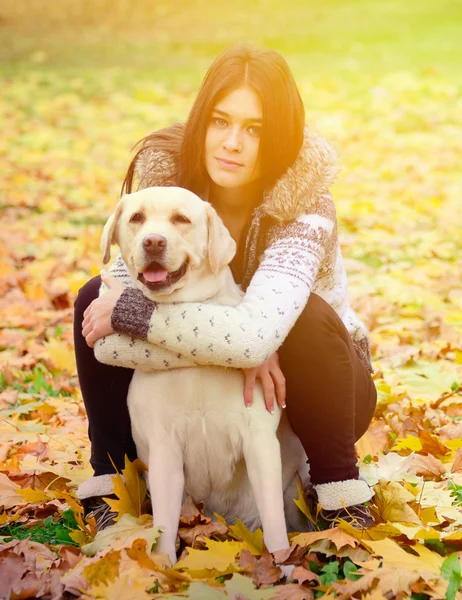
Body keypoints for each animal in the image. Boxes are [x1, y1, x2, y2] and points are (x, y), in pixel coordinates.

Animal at [99, 188, 312, 576]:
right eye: (136, 218)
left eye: (181, 219)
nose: (153, 241)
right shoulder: (164, 447)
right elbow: (164, 523)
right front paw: (163, 570)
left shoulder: (259, 441)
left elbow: (275, 522)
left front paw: (283, 564)